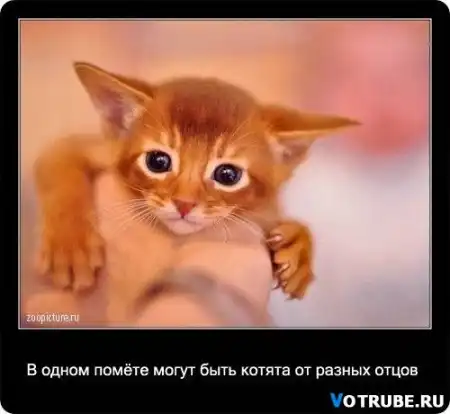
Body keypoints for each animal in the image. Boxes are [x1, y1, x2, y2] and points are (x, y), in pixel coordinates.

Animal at [33, 61, 358, 300]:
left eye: (227, 175)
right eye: (157, 161)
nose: (184, 204)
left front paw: (298, 246)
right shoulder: (77, 148)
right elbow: (61, 172)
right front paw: (71, 246)